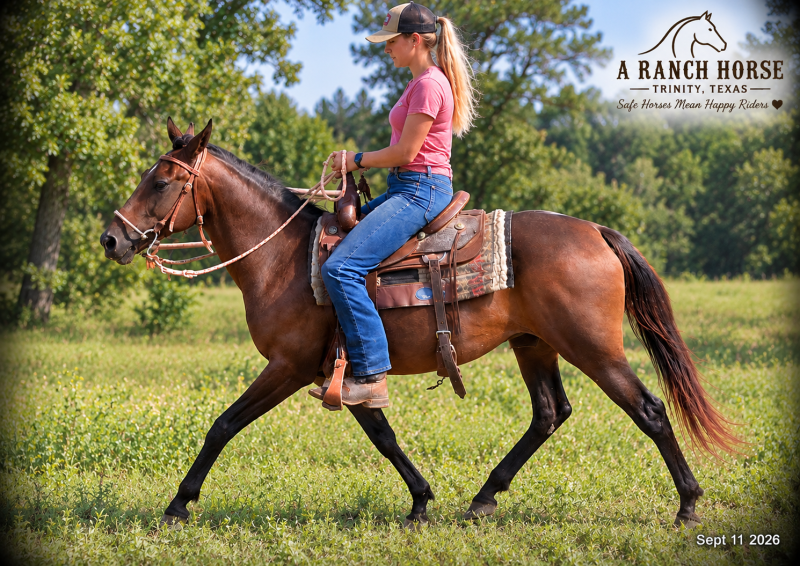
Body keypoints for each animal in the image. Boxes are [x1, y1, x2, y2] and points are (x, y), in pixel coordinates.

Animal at [100, 119, 739, 529]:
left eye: (161, 181)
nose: (112, 238)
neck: (283, 258)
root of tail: (596, 232)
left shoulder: (289, 366)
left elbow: (222, 424)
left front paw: (178, 504)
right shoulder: (348, 369)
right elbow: (382, 434)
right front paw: (422, 501)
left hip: (594, 348)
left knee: (648, 410)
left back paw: (688, 505)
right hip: (534, 344)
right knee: (549, 414)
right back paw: (483, 499)